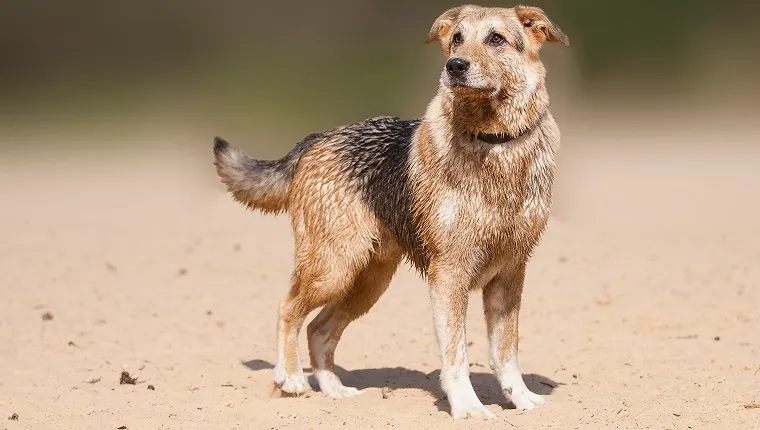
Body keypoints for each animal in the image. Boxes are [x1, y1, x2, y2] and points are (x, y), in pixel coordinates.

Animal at [211, 4, 568, 420]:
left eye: (496, 38)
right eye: (457, 38)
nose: (454, 66)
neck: (494, 143)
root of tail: (318, 138)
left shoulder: (511, 274)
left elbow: (506, 352)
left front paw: (521, 399)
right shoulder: (450, 275)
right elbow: (456, 356)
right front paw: (467, 407)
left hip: (368, 281)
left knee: (319, 330)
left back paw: (334, 390)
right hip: (333, 268)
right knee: (288, 310)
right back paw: (292, 379)